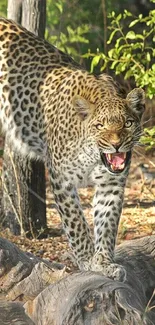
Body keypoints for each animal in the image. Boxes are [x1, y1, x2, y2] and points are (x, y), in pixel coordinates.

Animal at [0, 17, 145, 280]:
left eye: (128, 123)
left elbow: (106, 224)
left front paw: (104, 262)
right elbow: (76, 222)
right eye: (99, 126)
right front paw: (87, 260)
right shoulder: (61, 180)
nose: (116, 144)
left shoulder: (111, 185)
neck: (93, 157)